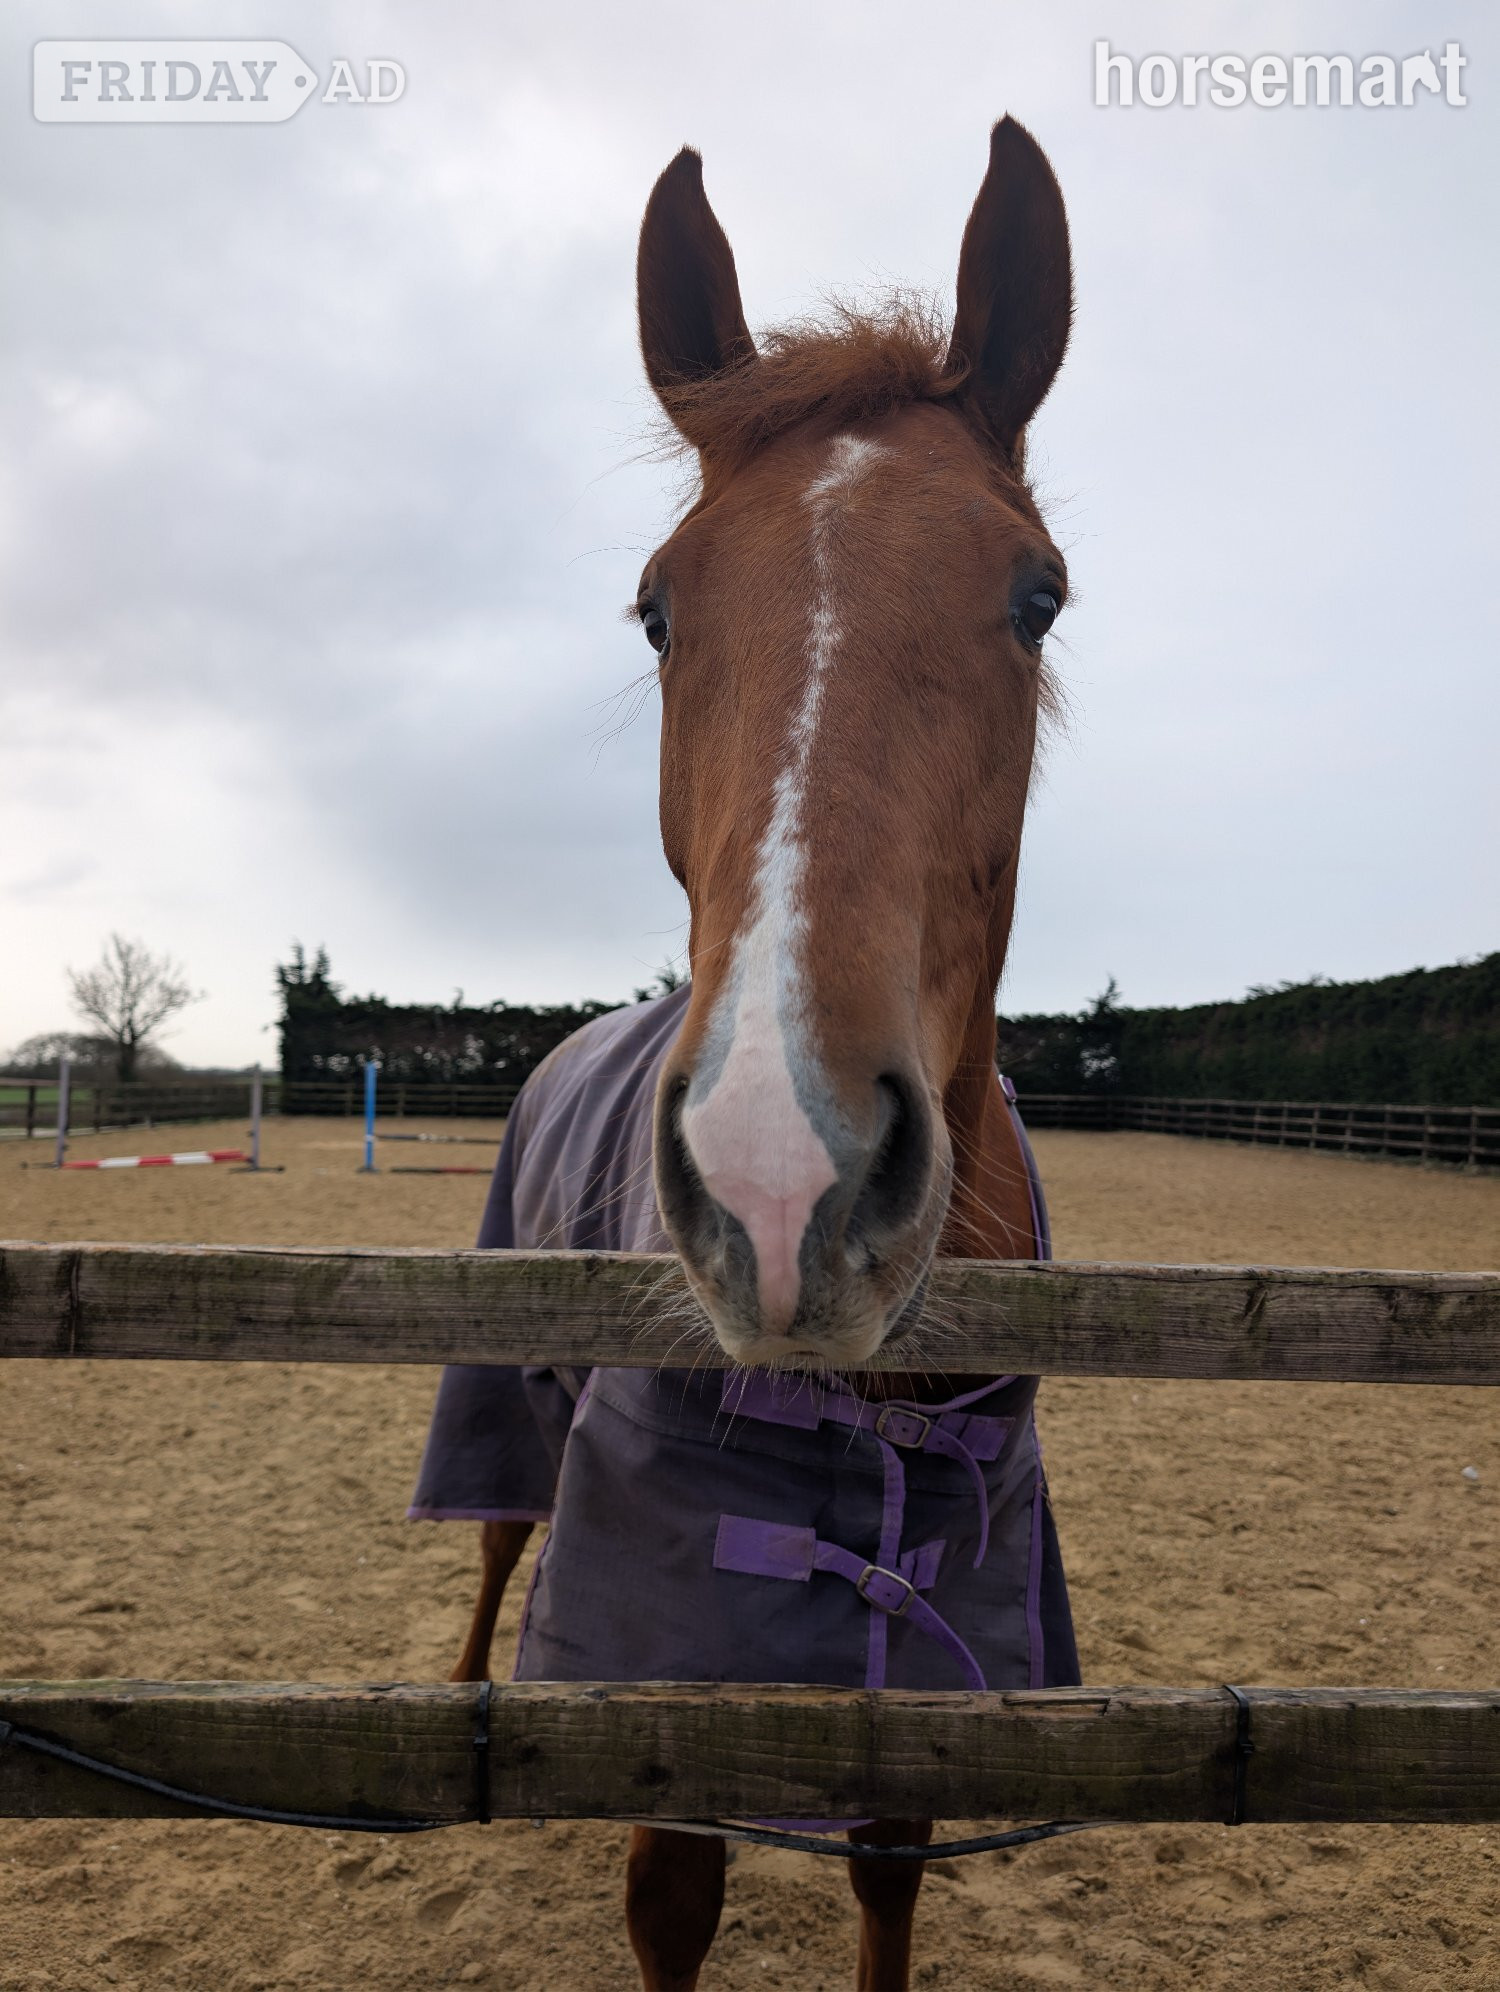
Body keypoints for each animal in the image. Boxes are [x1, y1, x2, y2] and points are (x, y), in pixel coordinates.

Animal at [413, 115, 1076, 1990]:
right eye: (656, 609)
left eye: (1037, 595)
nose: (788, 1183)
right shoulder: (671, 1678)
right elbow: (672, 1901)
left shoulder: (930, 1669)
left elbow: (888, 1878)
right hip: (503, 1383)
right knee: (496, 1538)